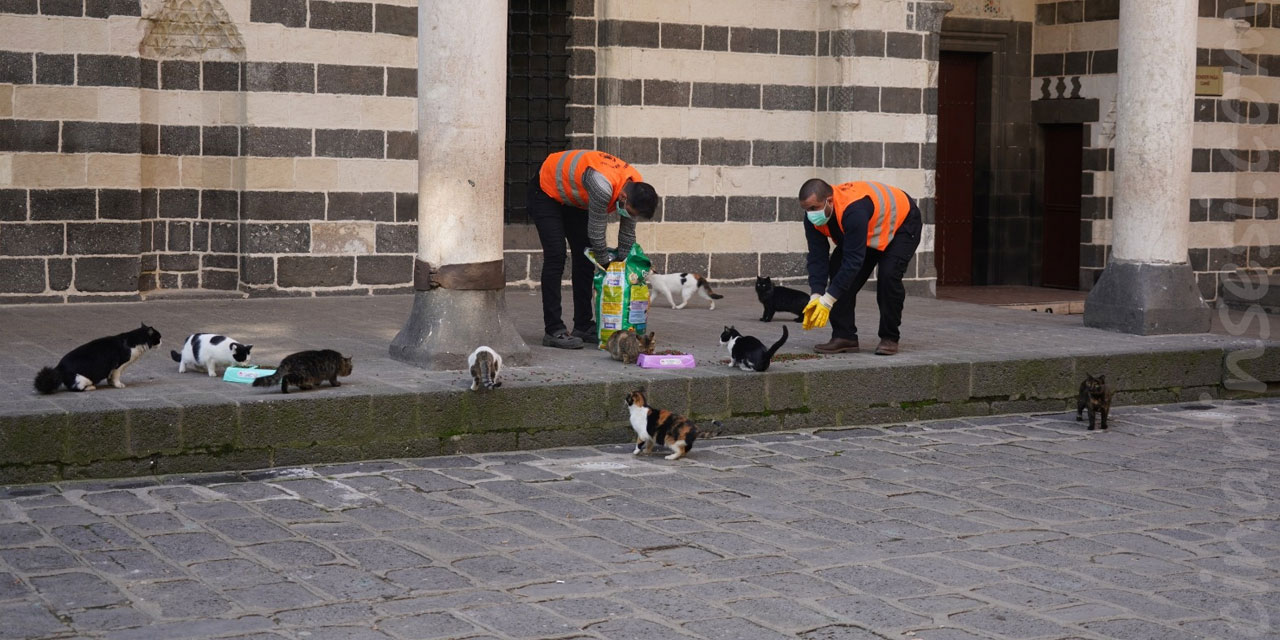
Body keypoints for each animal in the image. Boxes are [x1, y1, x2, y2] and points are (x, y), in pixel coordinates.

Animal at [33, 323, 162, 394]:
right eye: (159, 337)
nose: (162, 341)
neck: (133, 341)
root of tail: (58, 368)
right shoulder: (118, 366)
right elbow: (116, 376)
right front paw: (118, 385)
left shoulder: (113, 369)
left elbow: (110, 377)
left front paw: (111, 384)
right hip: (83, 379)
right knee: (76, 388)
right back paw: (91, 387)